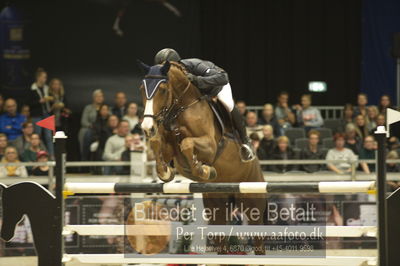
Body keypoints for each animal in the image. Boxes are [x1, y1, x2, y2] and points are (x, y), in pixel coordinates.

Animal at [139, 60, 268, 256]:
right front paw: (165, 172)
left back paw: (246, 150)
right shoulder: (169, 147)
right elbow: (157, 143)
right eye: (141, 88)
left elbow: (187, 144)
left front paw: (204, 170)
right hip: (216, 205)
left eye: (162, 89)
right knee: (221, 241)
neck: (180, 108)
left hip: (252, 203)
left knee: (258, 239)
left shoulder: (210, 146)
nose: (147, 127)